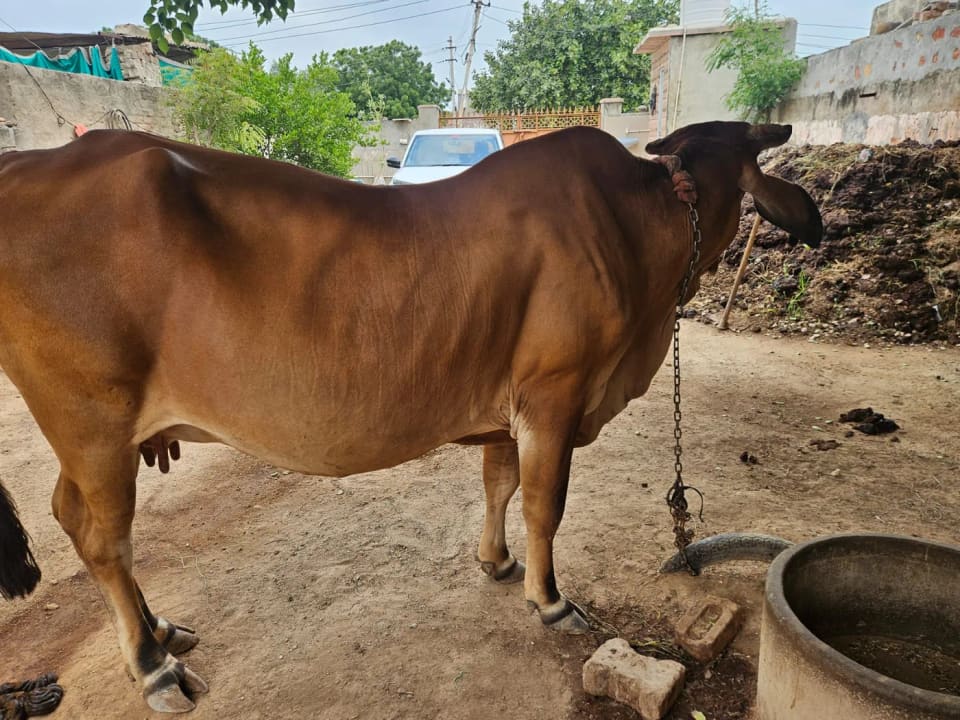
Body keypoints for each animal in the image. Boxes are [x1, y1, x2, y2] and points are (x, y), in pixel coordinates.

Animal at [0, 121, 821, 713]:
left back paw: (161, 629)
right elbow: (545, 504)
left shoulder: (507, 409)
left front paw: (497, 563)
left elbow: (500, 485)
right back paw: (154, 666)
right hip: (93, 422)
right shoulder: (555, 394)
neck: (635, 224)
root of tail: (25, 164)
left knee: (74, 519)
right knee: (104, 538)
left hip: (94, 438)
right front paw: (551, 599)